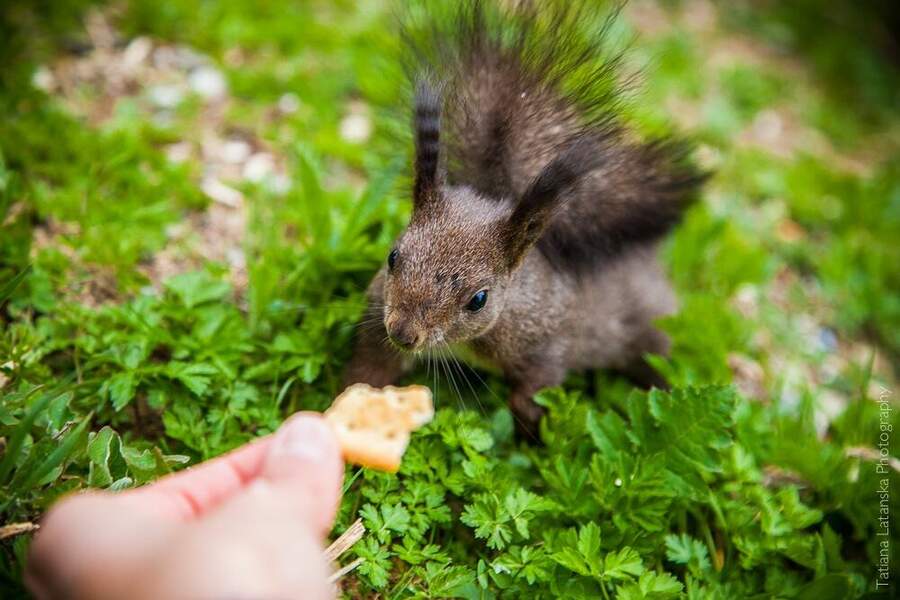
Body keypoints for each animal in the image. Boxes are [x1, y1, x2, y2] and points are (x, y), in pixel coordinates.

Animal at [343, 0, 707, 438]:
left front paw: (532, 434)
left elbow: (535, 390)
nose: (403, 333)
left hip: (651, 326)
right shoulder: (377, 310)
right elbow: (372, 363)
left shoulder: (548, 344)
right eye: (393, 257)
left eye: (479, 299)